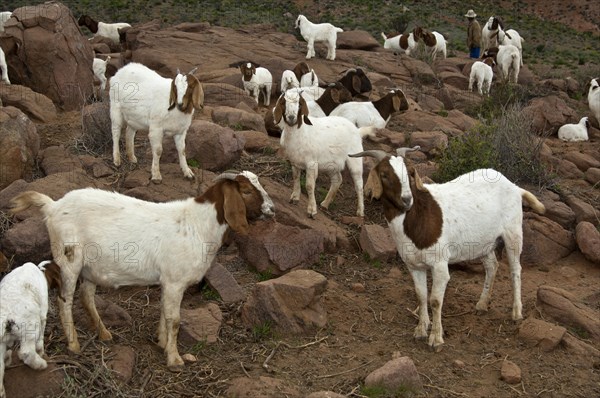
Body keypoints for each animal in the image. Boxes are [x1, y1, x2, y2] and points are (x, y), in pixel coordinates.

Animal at [0, 262, 61, 398]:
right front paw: (41, 351)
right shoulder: (43, 313)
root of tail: (4, 316)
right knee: (26, 352)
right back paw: (40, 364)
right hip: (30, 325)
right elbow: (41, 337)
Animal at [10, 173, 276, 372]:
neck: (198, 225)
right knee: (64, 300)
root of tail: (53, 206)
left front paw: (161, 343)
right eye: (246, 191)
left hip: (91, 267)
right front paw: (175, 359)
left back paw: (104, 333)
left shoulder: (168, 282)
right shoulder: (175, 280)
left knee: (86, 296)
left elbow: (164, 312)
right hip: (69, 258)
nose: (272, 210)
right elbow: (175, 320)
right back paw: (74, 344)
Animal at [274, 89, 376, 218]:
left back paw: (360, 211)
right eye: (283, 103)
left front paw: (311, 210)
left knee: (359, 185)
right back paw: (325, 204)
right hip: (331, 164)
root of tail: (357, 131)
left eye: (299, 104)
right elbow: (296, 178)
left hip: (355, 159)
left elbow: (309, 185)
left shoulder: (312, 163)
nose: (291, 117)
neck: (300, 132)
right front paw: (294, 198)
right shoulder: (294, 162)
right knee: (337, 180)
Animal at [350, 147, 548, 352]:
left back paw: (516, 312)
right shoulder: (414, 265)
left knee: (515, 270)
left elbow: (435, 301)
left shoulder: (439, 264)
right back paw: (482, 303)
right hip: (484, 242)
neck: (417, 216)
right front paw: (421, 329)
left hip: (513, 232)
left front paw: (436, 338)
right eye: (384, 174)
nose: (406, 199)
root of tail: (515, 187)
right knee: (492, 266)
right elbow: (421, 296)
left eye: (411, 172)